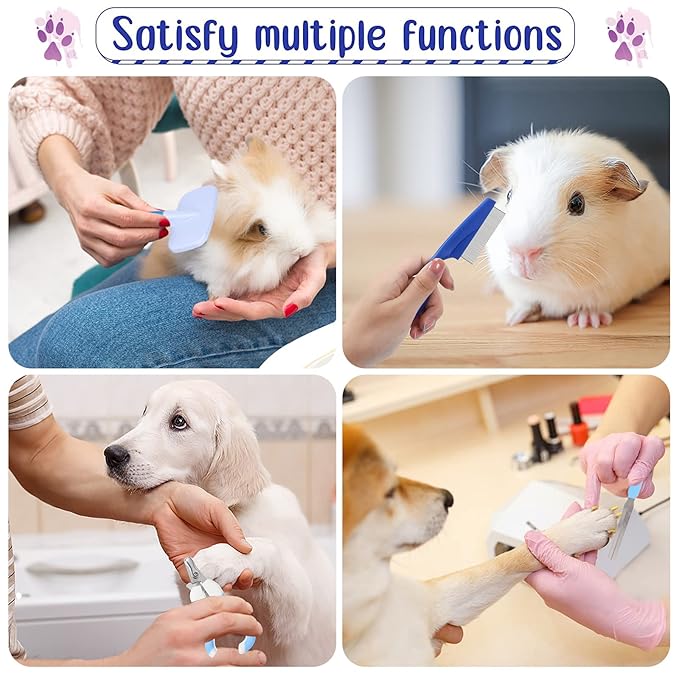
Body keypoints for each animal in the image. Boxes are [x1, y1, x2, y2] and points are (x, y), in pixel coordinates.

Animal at [479, 129, 669, 328]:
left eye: (577, 204)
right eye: (509, 195)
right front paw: (513, 318)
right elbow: (528, 303)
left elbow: (595, 306)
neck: (551, 288)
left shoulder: (611, 287)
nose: (523, 253)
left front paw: (585, 322)